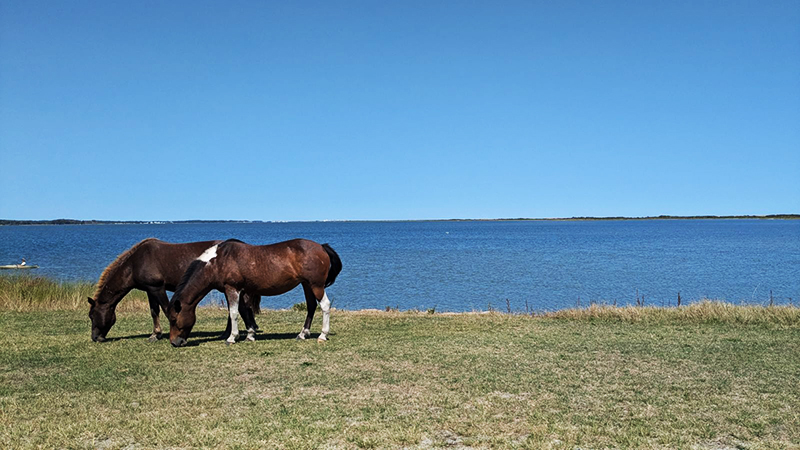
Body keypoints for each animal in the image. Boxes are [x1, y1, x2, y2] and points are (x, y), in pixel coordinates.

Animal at [88, 238, 260, 342]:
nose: (95, 337)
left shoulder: (157, 288)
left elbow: (165, 309)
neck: (135, 263)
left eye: (92, 315)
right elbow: (154, 311)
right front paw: (155, 334)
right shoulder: (149, 289)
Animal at [167, 238, 342, 347]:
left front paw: (232, 337)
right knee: (311, 306)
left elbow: (234, 313)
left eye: (174, 319)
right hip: (306, 284)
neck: (217, 262)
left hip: (316, 285)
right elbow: (244, 312)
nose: (175, 342)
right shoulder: (238, 290)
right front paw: (250, 334)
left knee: (325, 305)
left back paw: (322, 335)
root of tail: (321, 246)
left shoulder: (232, 288)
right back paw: (303, 334)